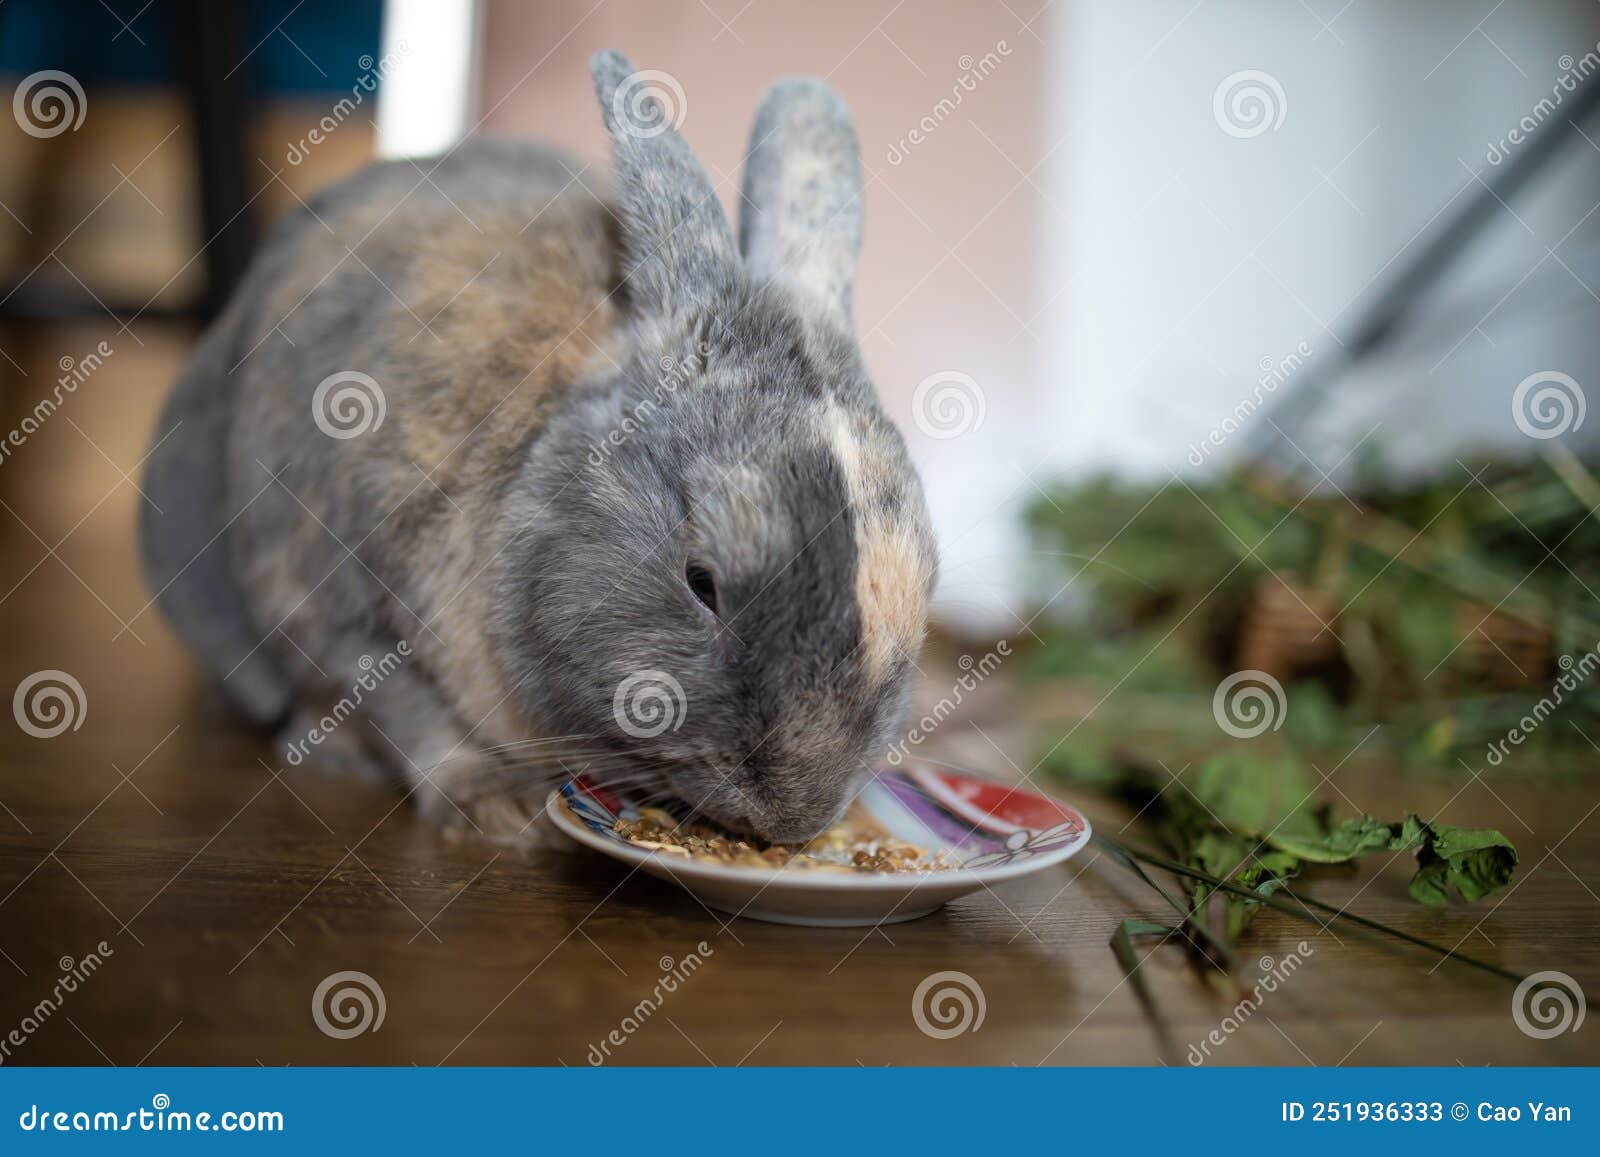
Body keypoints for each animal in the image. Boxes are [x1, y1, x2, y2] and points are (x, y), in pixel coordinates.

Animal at [139, 50, 938, 845]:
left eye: (925, 585)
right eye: (701, 581)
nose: (797, 816)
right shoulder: (339, 607)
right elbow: (408, 713)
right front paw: (501, 813)